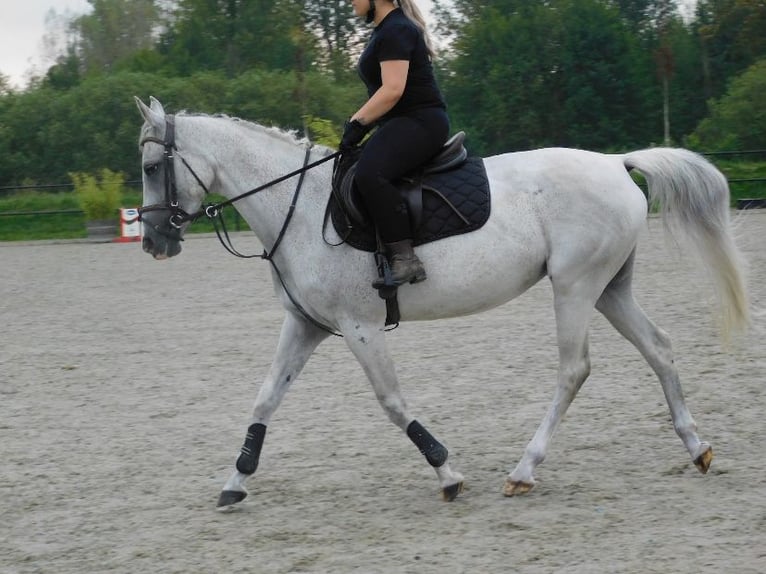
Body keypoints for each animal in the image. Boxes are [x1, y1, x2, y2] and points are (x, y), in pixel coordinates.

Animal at [136, 97, 752, 510]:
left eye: (149, 167)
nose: (153, 242)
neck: (299, 204)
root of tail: (615, 162)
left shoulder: (359, 326)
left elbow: (391, 401)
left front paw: (447, 472)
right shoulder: (306, 325)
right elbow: (265, 399)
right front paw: (235, 481)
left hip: (575, 287)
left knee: (574, 369)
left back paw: (525, 469)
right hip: (607, 288)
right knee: (659, 347)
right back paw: (696, 447)